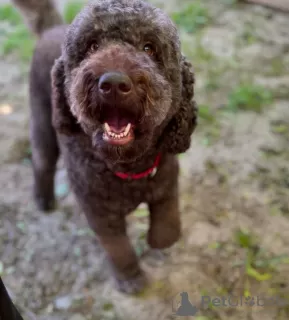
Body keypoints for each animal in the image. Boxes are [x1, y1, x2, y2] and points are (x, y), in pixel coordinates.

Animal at [12, 0, 197, 294]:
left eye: (149, 48)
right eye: (92, 46)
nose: (113, 83)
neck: (126, 169)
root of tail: (51, 28)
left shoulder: (166, 183)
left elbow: (168, 226)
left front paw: (159, 244)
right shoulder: (100, 214)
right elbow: (118, 249)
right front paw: (130, 277)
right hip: (42, 121)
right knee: (42, 162)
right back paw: (43, 199)